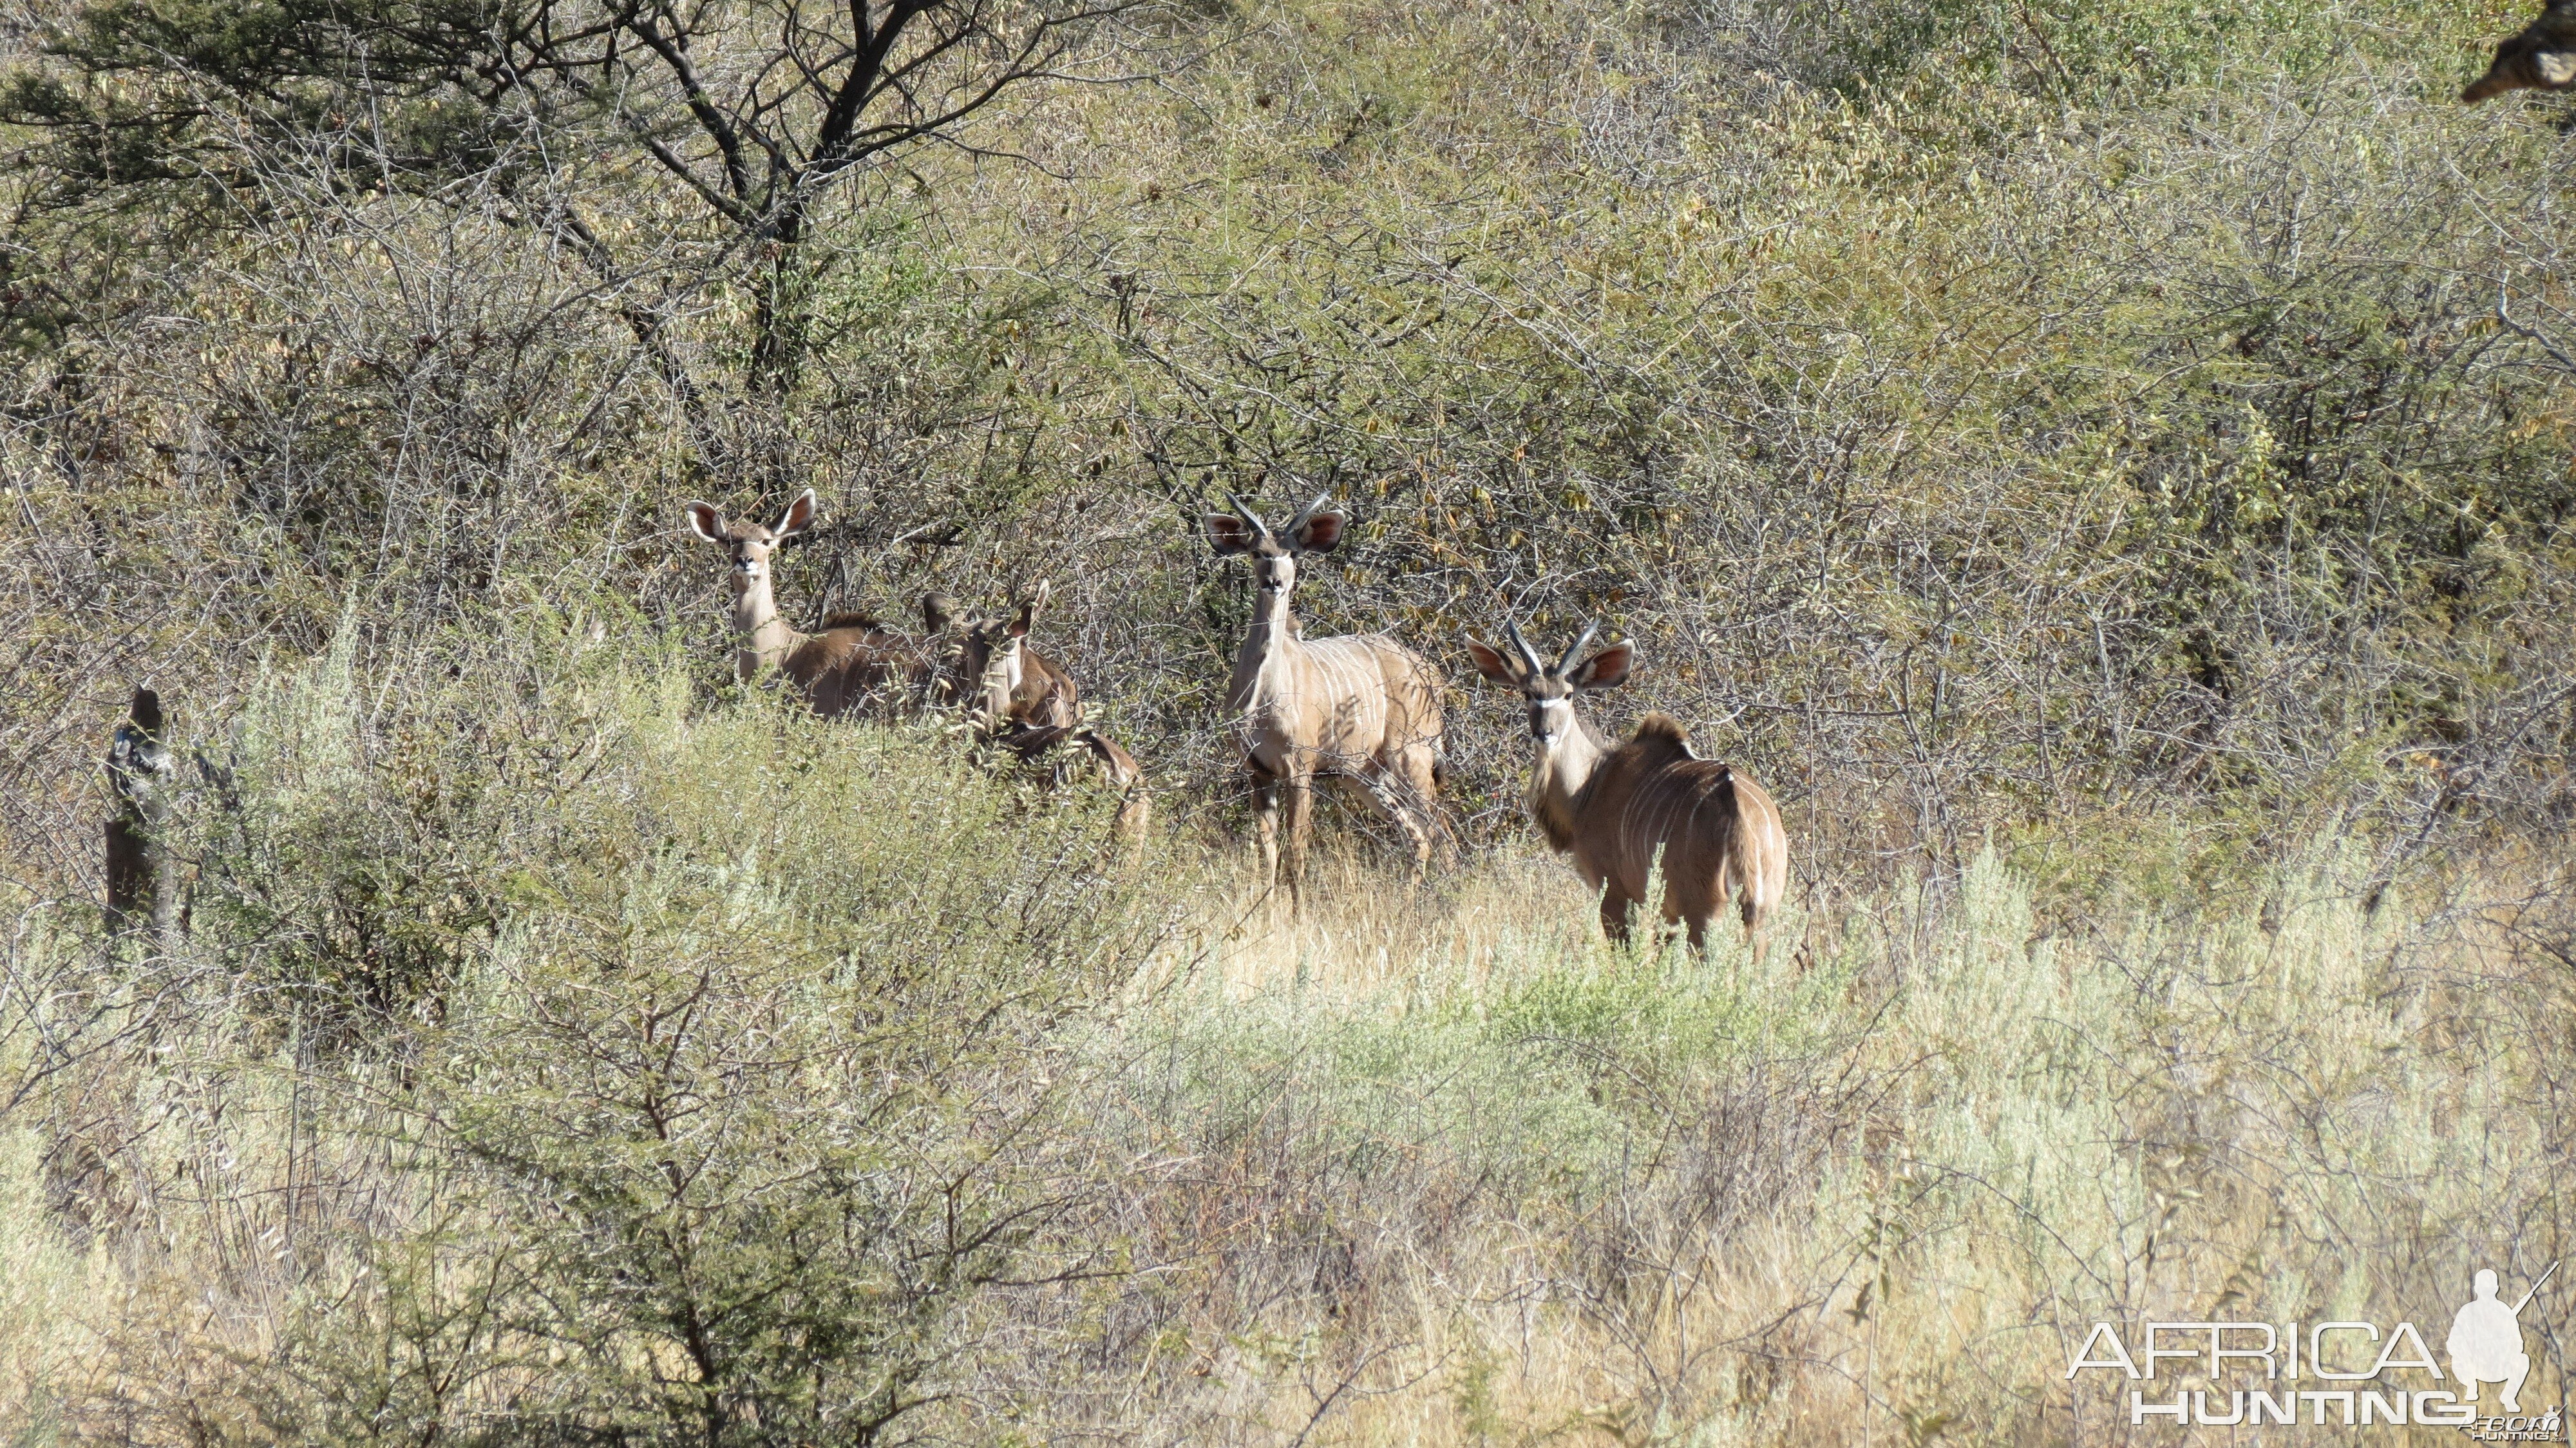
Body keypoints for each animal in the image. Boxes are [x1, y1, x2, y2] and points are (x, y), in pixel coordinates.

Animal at [1206, 492, 1453, 902]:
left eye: (1293, 553)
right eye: (1257, 552)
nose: (1274, 582)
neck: (1261, 701)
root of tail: (1432, 675)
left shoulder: (1300, 768)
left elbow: (1297, 850)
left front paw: (1298, 911)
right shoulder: (1257, 771)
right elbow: (1267, 851)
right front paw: (1267, 910)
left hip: (1412, 754)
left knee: (1440, 830)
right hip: (1364, 774)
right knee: (1416, 835)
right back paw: (1407, 902)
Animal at [1473, 624, 1793, 953]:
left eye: (1568, 694)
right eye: (1528, 693)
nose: (1544, 733)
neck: (1591, 783)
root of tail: (1737, 810)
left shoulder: (1615, 892)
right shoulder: (1665, 914)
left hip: (1704, 912)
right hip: (1762, 914)